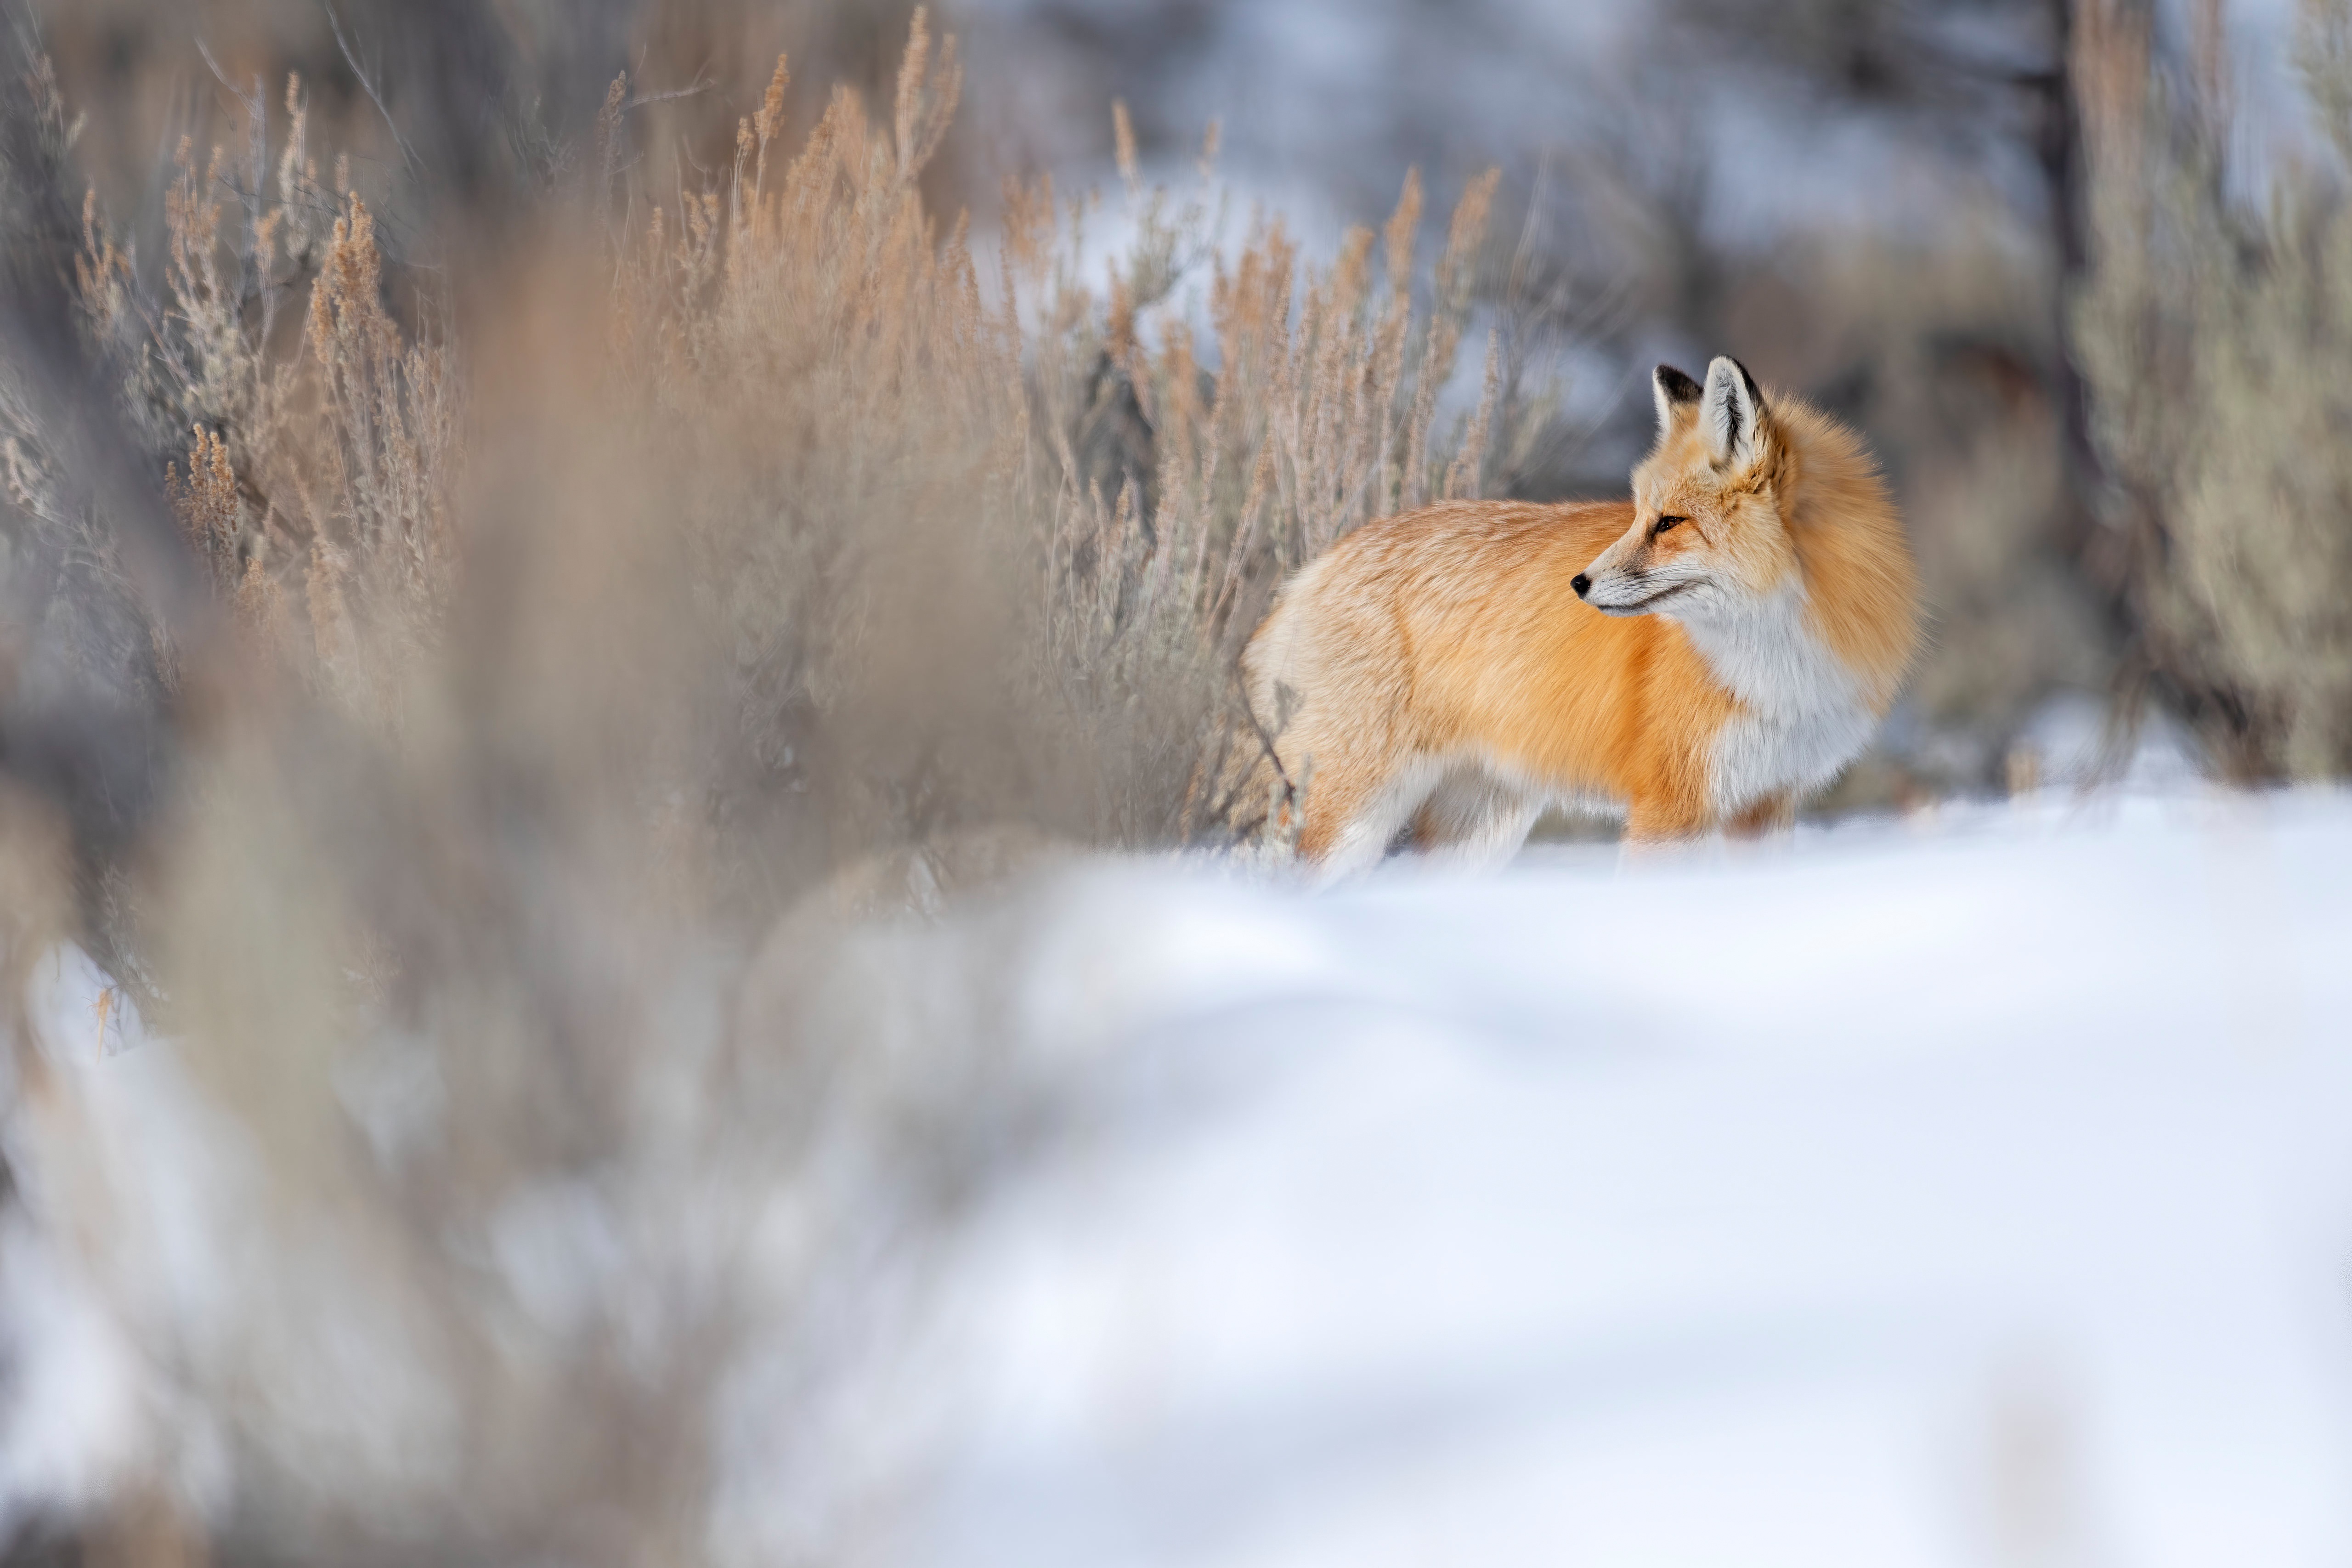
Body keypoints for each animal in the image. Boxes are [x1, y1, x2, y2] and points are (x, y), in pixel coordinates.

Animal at [1236, 355, 1919, 874]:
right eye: (1638, 515)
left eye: (1668, 523)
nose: (1579, 583)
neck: (1777, 661)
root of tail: (1315, 566)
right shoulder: (1671, 803)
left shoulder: (1768, 802)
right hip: (1346, 818)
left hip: (1476, 833)